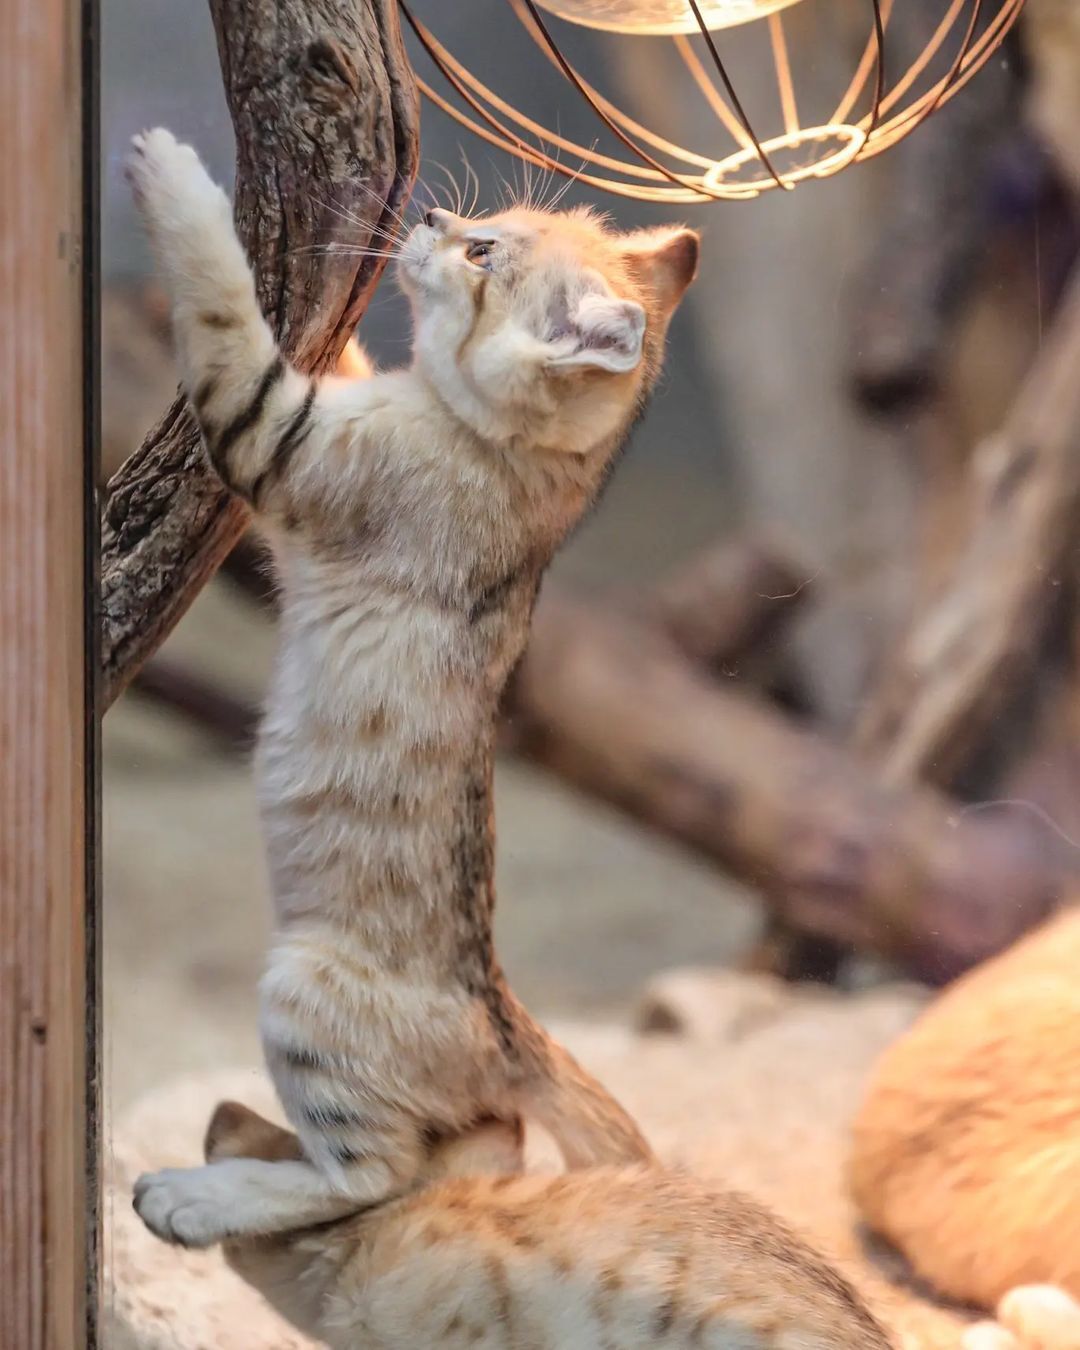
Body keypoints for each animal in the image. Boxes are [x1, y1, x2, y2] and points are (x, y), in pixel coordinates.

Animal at [124, 131, 702, 1247]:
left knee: (374, 1177)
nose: (432, 218)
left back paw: (195, 1195)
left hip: (301, 995)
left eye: (484, 254)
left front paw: (176, 178)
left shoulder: (280, 435)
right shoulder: (329, 401)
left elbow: (227, 310)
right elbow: (330, 348)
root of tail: (507, 1024)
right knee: (472, 1150)